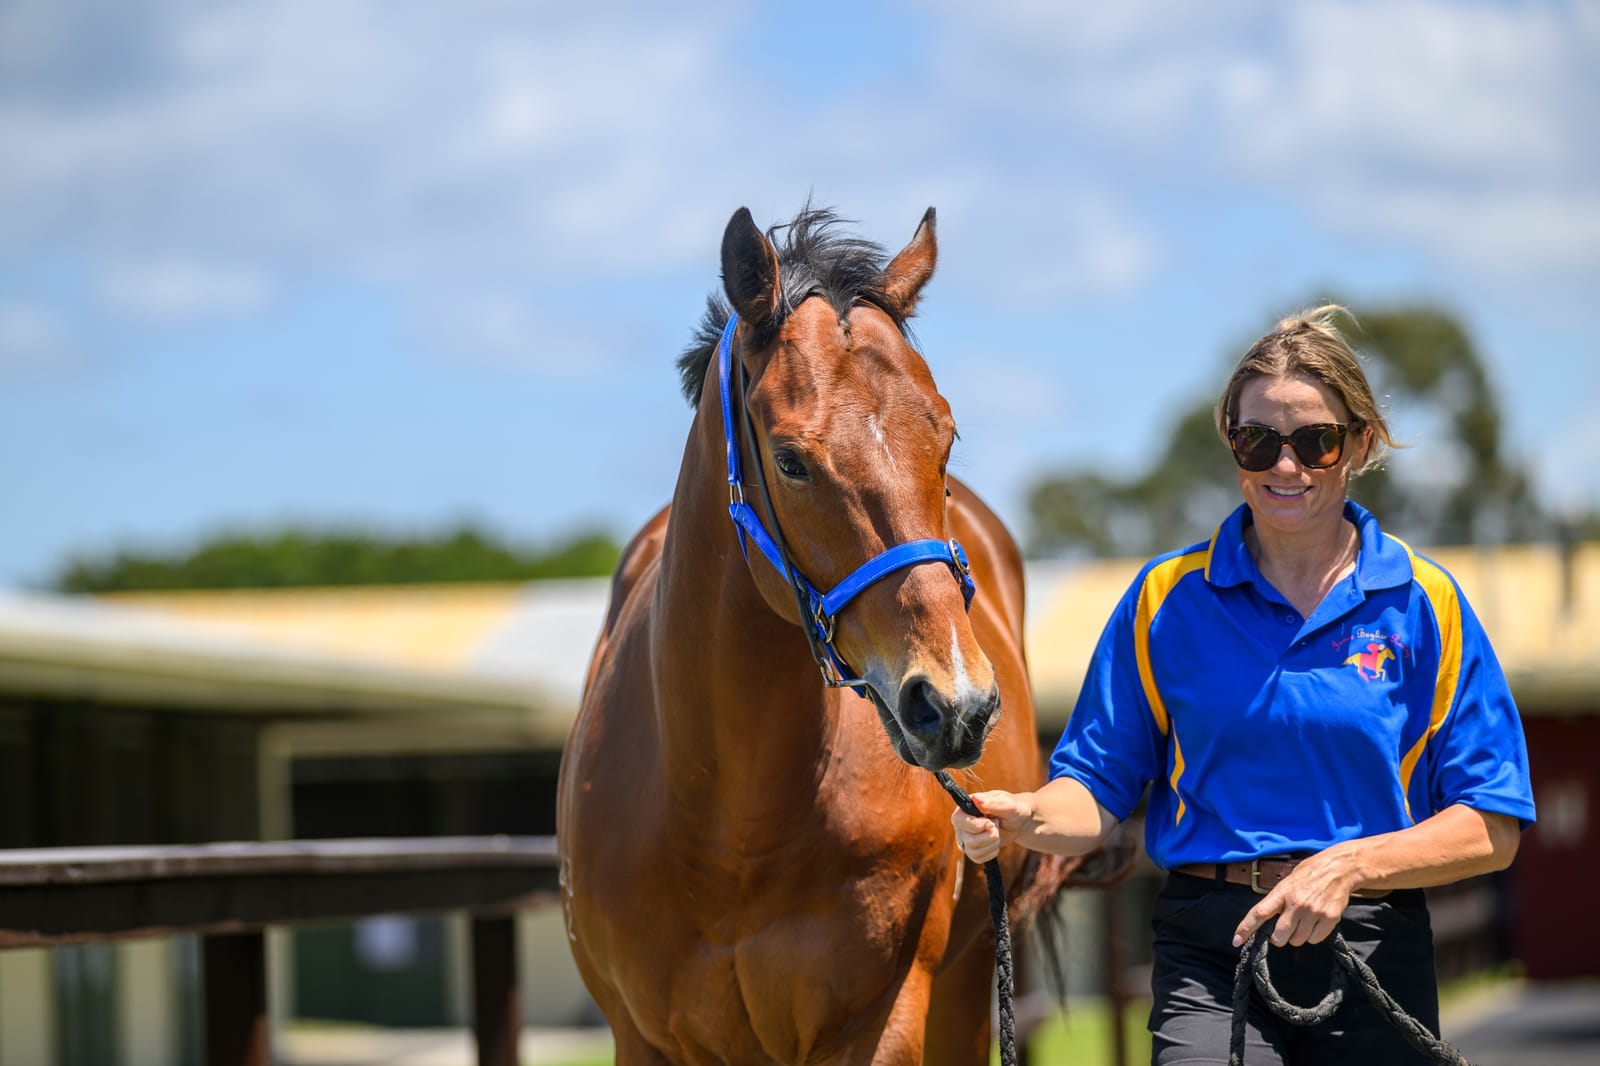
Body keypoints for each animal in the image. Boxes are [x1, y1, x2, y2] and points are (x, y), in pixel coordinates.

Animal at [557, 205, 1088, 1064]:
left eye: (945, 439)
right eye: (790, 461)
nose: (956, 705)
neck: (730, 830)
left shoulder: (881, 1020)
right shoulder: (642, 1038)